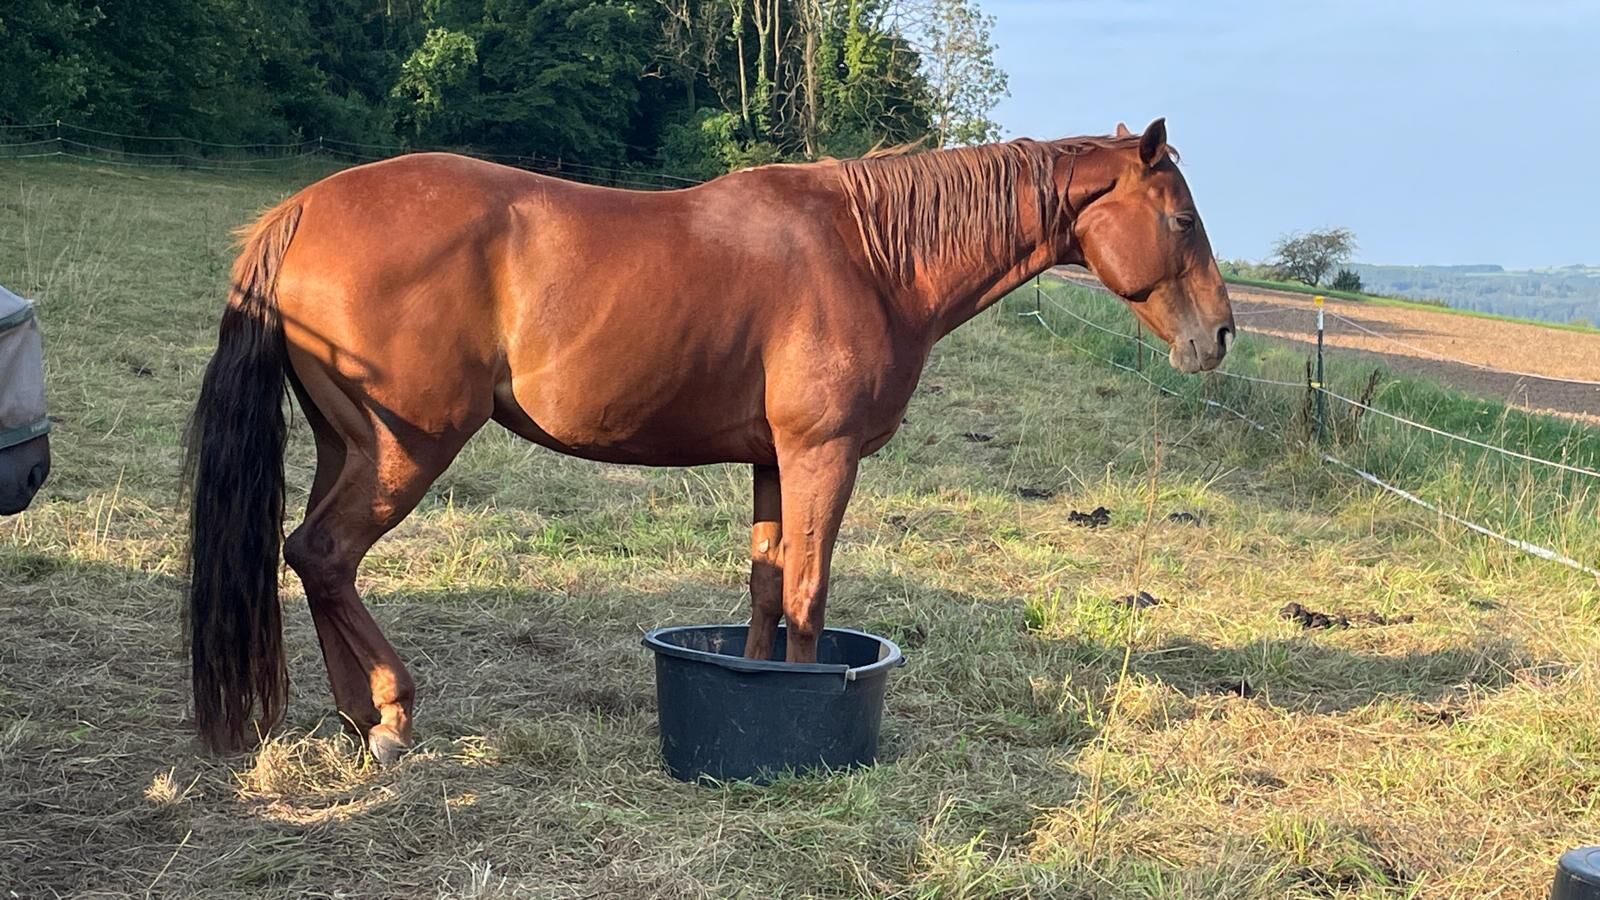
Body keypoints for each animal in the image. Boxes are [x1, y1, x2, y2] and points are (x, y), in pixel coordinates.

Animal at [184, 118, 1234, 761]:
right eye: (1183, 218)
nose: (1219, 336)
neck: (869, 254)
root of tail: (303, 211)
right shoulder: (821, 457)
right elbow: (809, 593)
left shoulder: (773, 462)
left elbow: (766, 591)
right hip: (407, 449)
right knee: (324, 553)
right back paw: (392, 716)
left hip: (350, 447)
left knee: (317, 559)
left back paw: (361, 715)